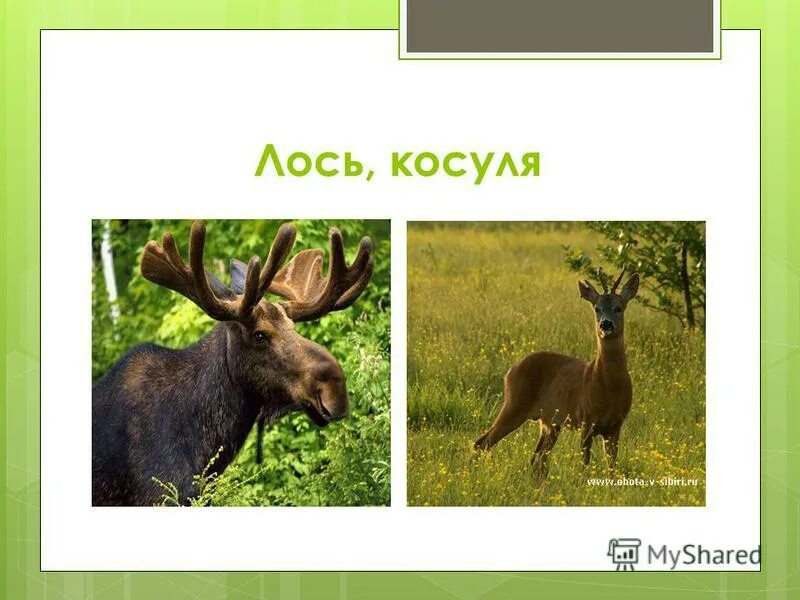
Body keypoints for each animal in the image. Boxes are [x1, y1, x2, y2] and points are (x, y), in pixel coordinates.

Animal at [474, 269, 639, 479]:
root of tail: (510, 370)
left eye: (619, 308)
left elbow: (612, 468)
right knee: (482, 443)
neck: (609, 386)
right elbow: (584, 466)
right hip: (514, 405)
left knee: (537, 459)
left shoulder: (616, 425)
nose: (606, 325)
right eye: (597, 308)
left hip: (550, 422)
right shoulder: (586, 419)